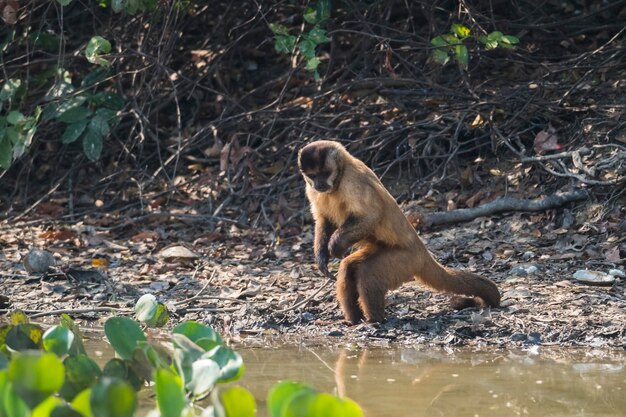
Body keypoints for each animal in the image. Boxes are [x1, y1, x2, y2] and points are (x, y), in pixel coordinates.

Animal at [296, 139, 498, 322]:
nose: (319, 184)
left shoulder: (351, 181)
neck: (339, 177)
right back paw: (354, 320)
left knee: (368, 273)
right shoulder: (310, 189)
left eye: (324, 173)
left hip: (407, 260)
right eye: (313, 176)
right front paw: (322, 256)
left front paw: (336, 246)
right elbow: (324, 220)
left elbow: (371, 215)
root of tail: (423, 252)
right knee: (349, 267)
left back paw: (374, 321)